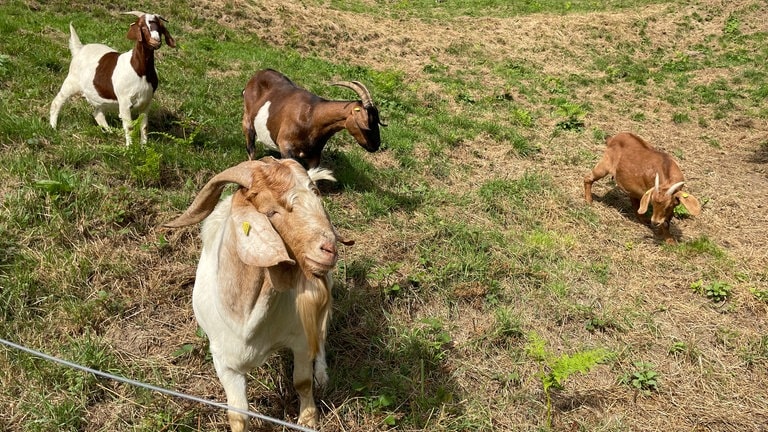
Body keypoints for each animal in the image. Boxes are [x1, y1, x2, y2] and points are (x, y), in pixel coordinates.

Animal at [50, 11, 176, 147]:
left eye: (159, 27)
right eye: (142, 27)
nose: (156, 41)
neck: (141, 71)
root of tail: (80, 49)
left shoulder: (146, 101)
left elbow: (144, 126)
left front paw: (143, 146)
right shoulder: (125, 101)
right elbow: (129, 127)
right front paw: (130, 148)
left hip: (101, 95)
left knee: (97, 113)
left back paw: (111, 132)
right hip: (71, 82)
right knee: (57, 101)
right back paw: (53, 127)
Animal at [165, 157, 354, 430]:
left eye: (317, 197)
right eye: (271, 211)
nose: (329, 249)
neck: (246, 319)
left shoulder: (299, 338)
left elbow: (302, 382)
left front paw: (308, 418)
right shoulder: (224, 362)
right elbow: (238, 414)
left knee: (320, 338)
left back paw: (322, 375)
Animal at [242, 68, 384, 168]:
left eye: (377, 121)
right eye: (368, 123)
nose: (376, 145)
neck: (311, 116)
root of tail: (257, 75)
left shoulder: (314, 156)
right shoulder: (285, 147)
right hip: (247, 119)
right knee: (251, 149)